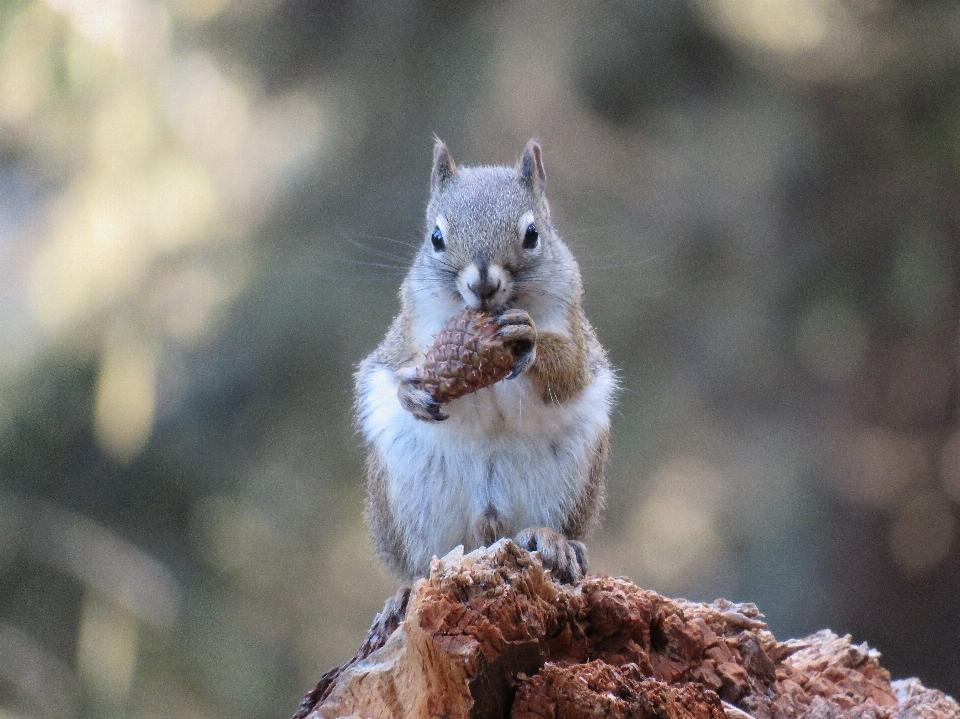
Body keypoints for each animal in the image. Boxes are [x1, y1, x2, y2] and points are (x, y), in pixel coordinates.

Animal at [354, 141, 616, 584]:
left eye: (532, 235)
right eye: (436, 238)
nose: (482, 283)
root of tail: (488, 530)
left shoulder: (574, 326)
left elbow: (569, 373)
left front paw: (529, 340)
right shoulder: (410, 332)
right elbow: (394, 364)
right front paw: (410, 390)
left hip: (572, 477)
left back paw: (554, 541)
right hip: (407, 494)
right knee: (422, 560)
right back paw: (409, 586)